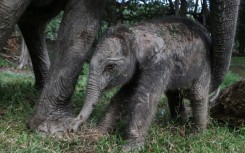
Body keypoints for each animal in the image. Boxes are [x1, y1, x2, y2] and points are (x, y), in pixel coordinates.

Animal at [69, 16, 212, 151]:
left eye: (110, 66)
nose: (71, 128)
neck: (137, 31)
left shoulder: (161, 61)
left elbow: (145, 97)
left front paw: (129, 148)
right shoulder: (137, 68)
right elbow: (123, 97)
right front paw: (98, 134)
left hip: (205, 66)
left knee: (198, 95)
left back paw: (196, 135)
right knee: (174, 95)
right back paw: (179, 125)